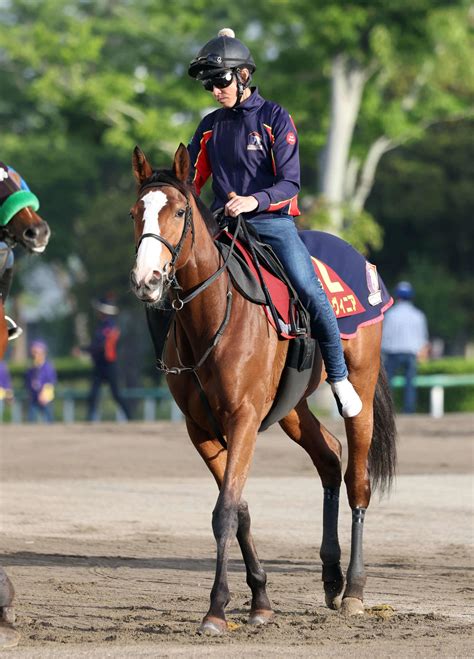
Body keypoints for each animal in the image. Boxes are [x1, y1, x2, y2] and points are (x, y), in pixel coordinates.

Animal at [129, 143, 396, 636]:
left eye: (179, 211)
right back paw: (331, 576)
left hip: (362, 389)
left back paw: (353, 589)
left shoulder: (244, 419)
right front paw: (260, 600)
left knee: (357, 480)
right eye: (136, 212)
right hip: (291, 408)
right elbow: (239, 510)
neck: (214, 315)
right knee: (329, 457)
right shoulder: (202, 430)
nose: (147, 279)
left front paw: (216, 609)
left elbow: (224, 512)